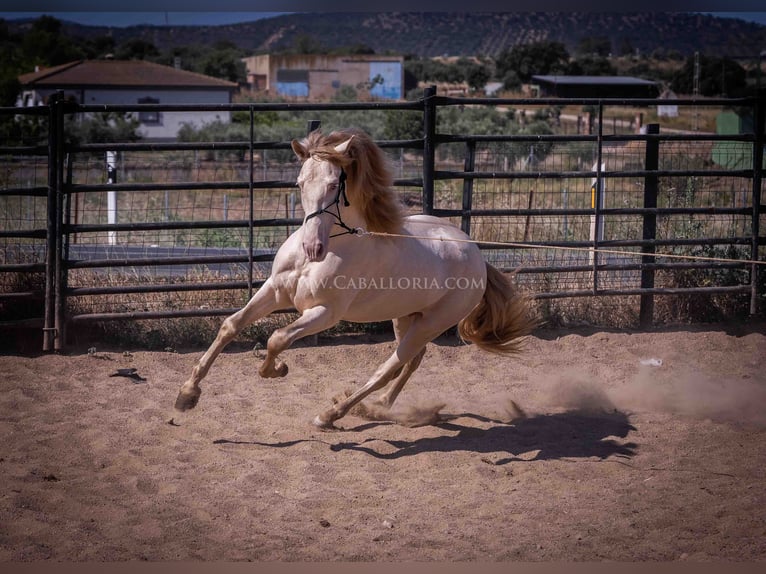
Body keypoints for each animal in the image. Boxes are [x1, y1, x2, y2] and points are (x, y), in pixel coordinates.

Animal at [174, 128, 536, 430]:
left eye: (335, 184)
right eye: (299, 183)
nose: (313, 248)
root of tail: (478, 257)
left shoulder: (325, 313)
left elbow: (277, 339)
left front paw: (274, 370)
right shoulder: (275, 291)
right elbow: (231, 325)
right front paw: (187, 395)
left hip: (432, 323)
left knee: (388, 367)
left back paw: (332, 414)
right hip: (406, 317)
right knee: (411, 362)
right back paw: (379, 407)